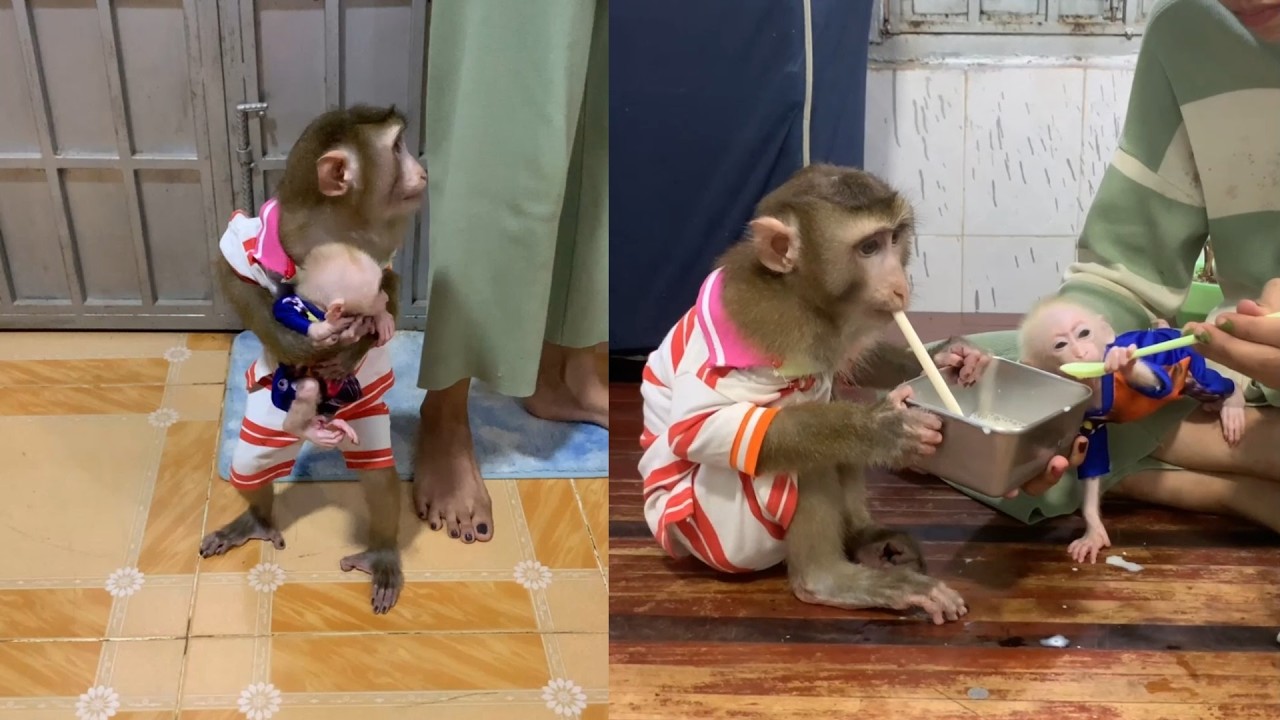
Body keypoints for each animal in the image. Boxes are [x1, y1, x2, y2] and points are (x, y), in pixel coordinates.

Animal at [202, 104, 428, 615]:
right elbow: (232, 267)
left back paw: (381, 552)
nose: (423, 170)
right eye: (398, 148)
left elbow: (389, 284)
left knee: (379, 478)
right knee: (251, 465)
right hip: (268, 415)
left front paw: (365, 338)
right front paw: (302, 344)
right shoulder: (271, 228)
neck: (335, 221)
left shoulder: (379, 252)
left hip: (366, 413)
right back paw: (260, 513)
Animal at [638, 163, 986, 624]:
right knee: (805, 444)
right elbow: (705, 429)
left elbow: (853, 362)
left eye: (894, 239)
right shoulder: (764, 328)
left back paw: (866, 539)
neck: (804, 298)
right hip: (728, 533)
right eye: (869, 248)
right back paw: (828, 580)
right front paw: (884, 430)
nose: (900, 286)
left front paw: (953, 356)